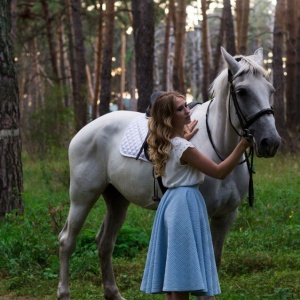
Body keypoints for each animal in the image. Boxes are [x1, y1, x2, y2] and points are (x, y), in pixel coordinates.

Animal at [56, 48, 282, 298]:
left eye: (271, 90)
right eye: (242, 91)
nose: (270, 142)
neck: (220, 149)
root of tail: (85, 130)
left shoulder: (226, 216)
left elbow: (214, 263)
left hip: (117, 199)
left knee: (104, 242)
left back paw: (113, 293)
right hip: (82, 197)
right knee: (67, 241)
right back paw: (64, 293)